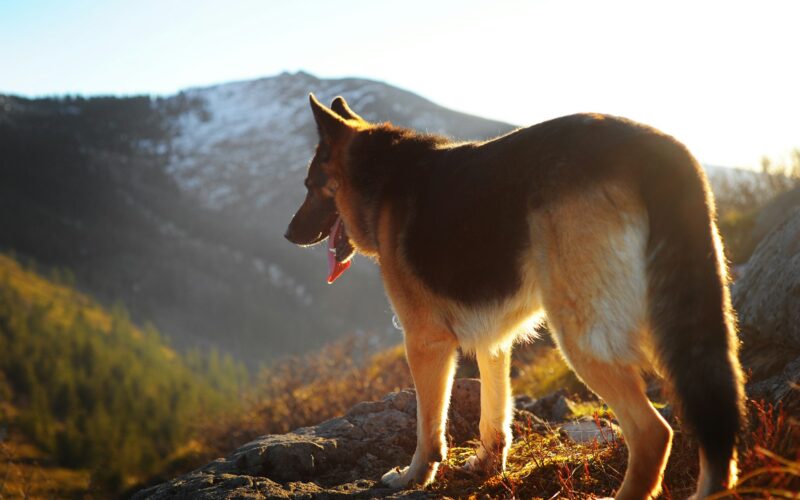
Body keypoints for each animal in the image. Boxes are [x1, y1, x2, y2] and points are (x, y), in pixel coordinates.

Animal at [284, 94, 748, 500]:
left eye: (308, 185)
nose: (288, 234)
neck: (381, 175)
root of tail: (658, 150)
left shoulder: (425, 342)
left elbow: (428, 426)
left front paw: (415, 476)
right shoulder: (494, 340)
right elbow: (494, 414)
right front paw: (487, 465)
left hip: (583, 333)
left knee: (653, 432)